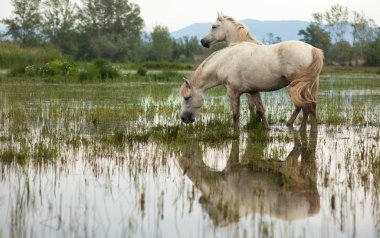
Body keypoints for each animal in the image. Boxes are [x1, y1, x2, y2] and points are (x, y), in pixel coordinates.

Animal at [180, 41, 322, 132]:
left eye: (187, 98)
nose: (183, 118)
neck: (224, 62)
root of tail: (312, 49)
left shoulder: (233, 93)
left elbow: (235, 114)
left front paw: (235, 132)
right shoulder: (253, 91)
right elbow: (261, 110)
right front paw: (267, 128)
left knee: (308, 107)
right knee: (308, 107)